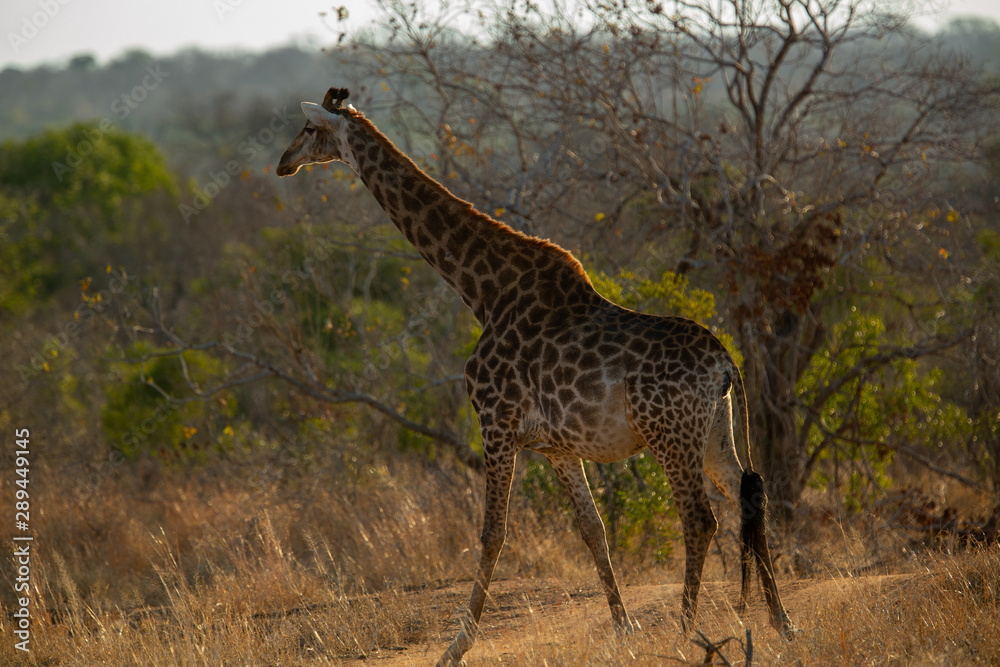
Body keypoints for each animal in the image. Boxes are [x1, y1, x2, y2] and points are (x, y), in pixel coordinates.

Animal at [277, 88, 794, 665]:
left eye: (307, 129)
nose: (283, 163)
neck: (484, 291)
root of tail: (725, 362)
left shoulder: (495, 421)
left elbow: (492, 533)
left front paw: (455, 646)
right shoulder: (556, 447)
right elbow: (593, 530)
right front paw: (624, 629)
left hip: (670, 432)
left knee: (700, 518)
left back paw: (686, 631)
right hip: (714, 431)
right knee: (748, 495)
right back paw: (780, 622)